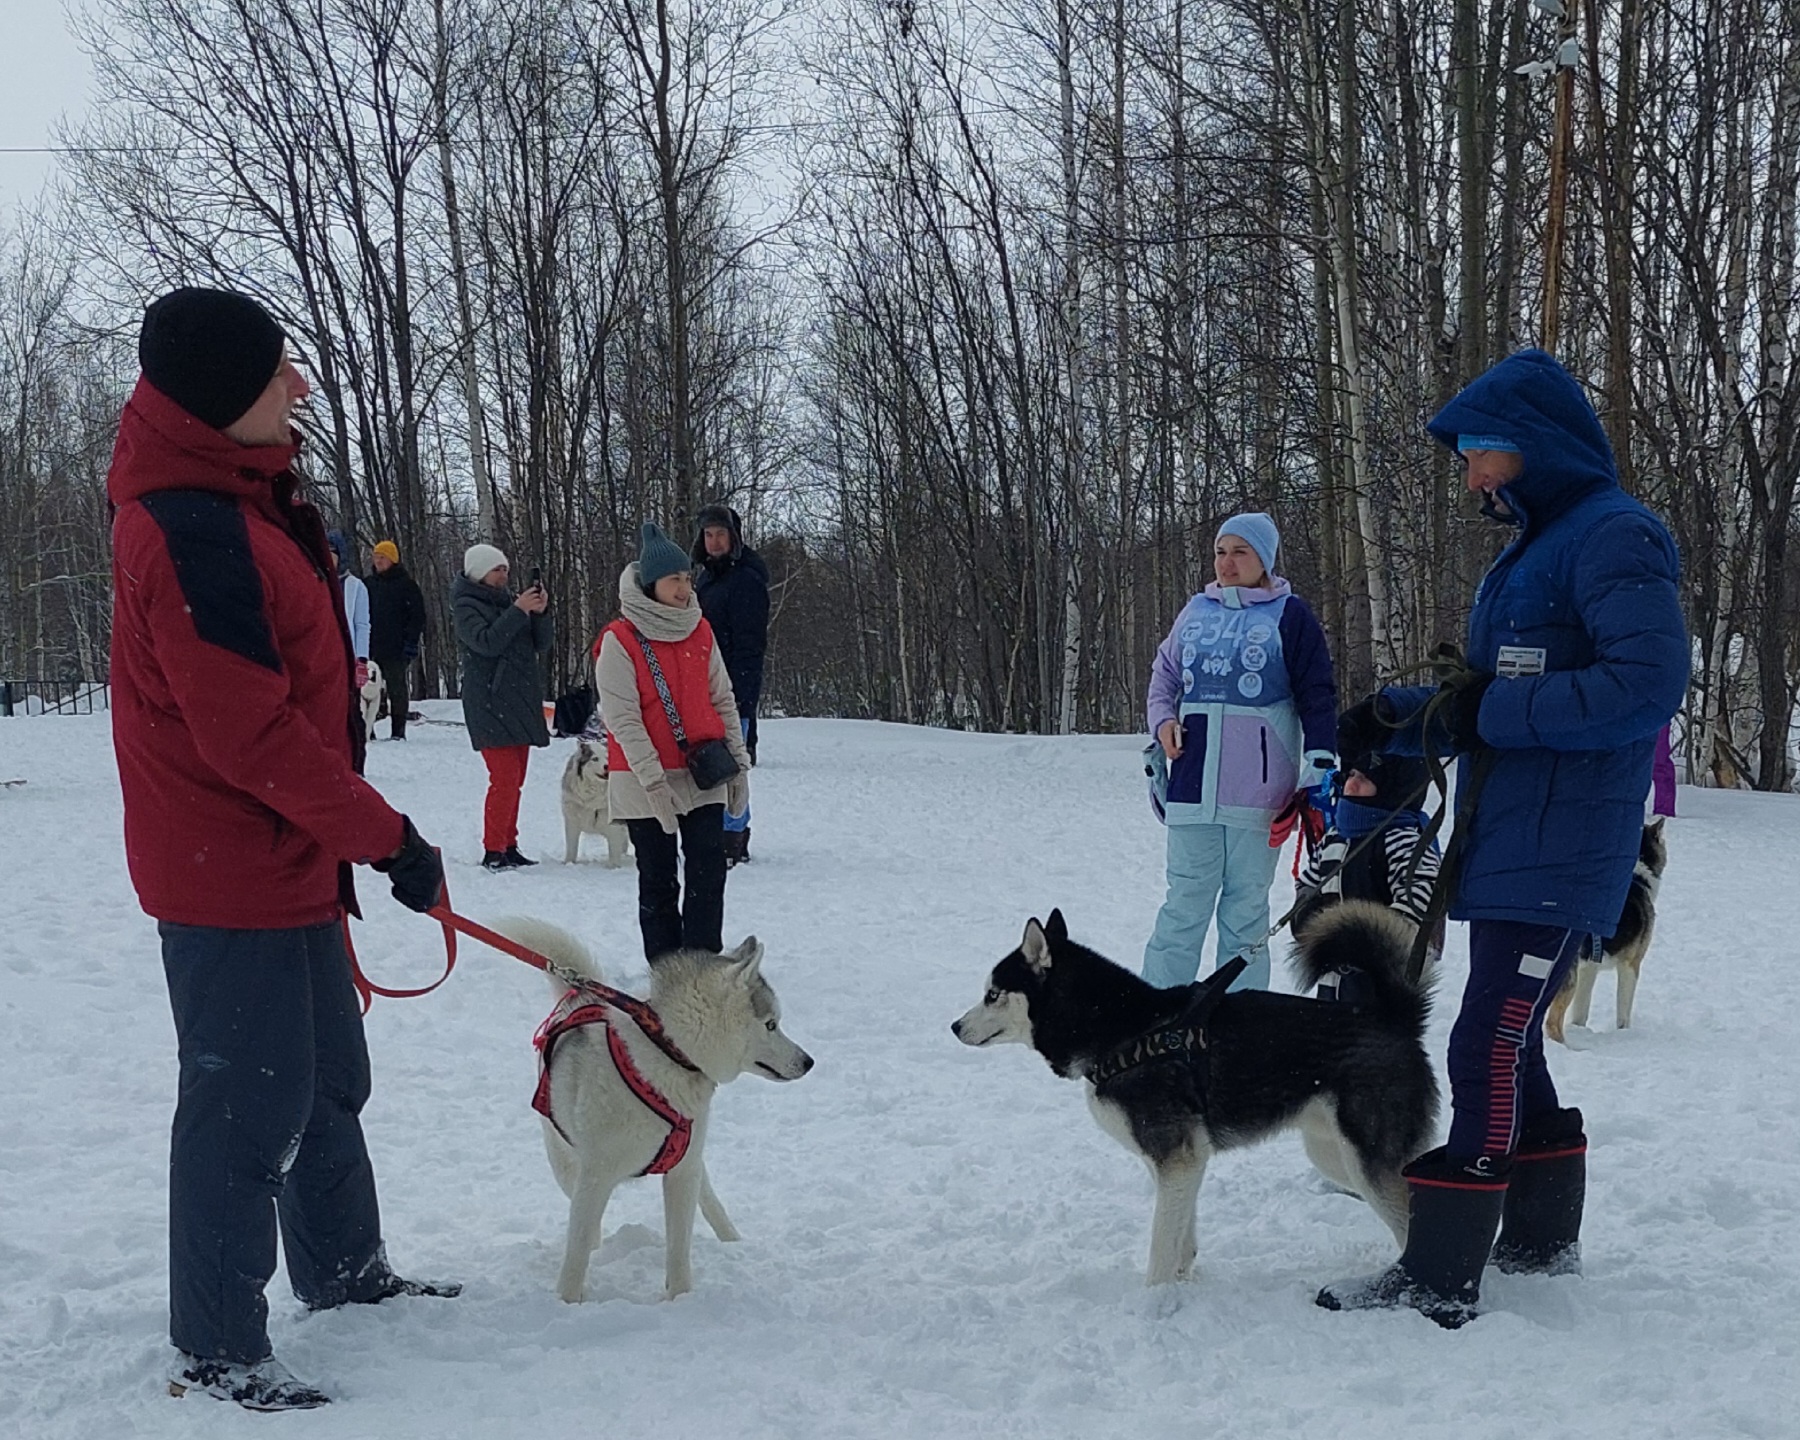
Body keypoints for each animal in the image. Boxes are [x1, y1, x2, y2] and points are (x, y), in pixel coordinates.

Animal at [500, 921, 824, 1303]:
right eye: (771, 1024)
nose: (808, 1061)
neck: (666, 1052)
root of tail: (578, 996)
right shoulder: (595, 1174)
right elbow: (578, 1245)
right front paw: (566, 1301)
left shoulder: (682, 1171)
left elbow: (679, 1247)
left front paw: (680, 1299)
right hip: (564, 1160)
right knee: (586, 1222)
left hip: (691, 1158)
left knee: (708, 1197)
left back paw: (732, 1241)